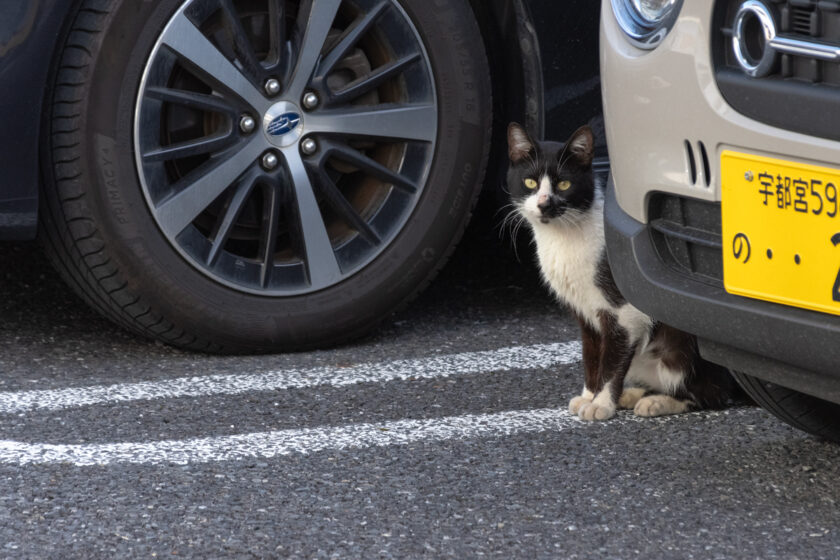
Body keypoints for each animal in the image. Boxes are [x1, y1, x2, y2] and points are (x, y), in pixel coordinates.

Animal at [506, 121, 736, 420]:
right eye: (530, 182)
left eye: (564, 184)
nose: (544, 204)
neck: (563, 238)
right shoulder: (585, 313)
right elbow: (592, 356)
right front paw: (589, 396)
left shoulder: (625, 314)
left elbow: (611, 361)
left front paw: (601, 404)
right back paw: (633, 394)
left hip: (684, 352)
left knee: (711, 393)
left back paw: (656, 402)